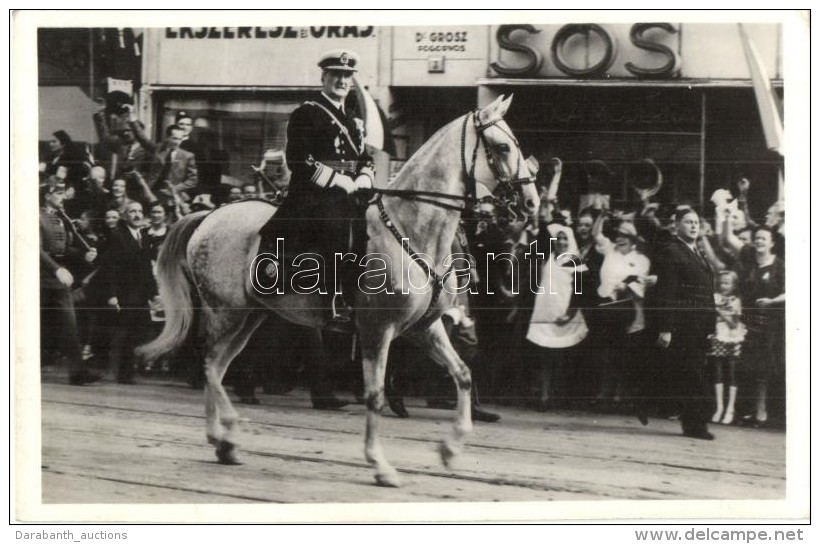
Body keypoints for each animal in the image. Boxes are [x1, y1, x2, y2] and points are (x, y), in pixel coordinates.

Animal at [139, 94, 540, 488]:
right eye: (503, 146)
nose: (533, 202)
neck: (411, 229)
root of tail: (208, 216)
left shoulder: (423, 328)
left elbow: (463, 374)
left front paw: (451, 449)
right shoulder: (377, 330)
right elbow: (375, 395)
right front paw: (380, 465)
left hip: (250, 316)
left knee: (218, 367)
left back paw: (222, 441)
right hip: (226, 312)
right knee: (209, 364)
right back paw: (228, 432)